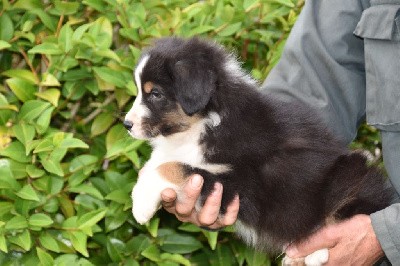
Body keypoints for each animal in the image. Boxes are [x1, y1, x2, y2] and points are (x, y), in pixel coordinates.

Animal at [123, 36, 392, 264]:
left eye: (155, 94)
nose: (126, 124)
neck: (206, 123)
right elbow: (158, 163)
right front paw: (140, 194)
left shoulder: (242, 184)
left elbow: (174, 167)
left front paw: (141, 207)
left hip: (347, 175)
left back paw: (315, 253)